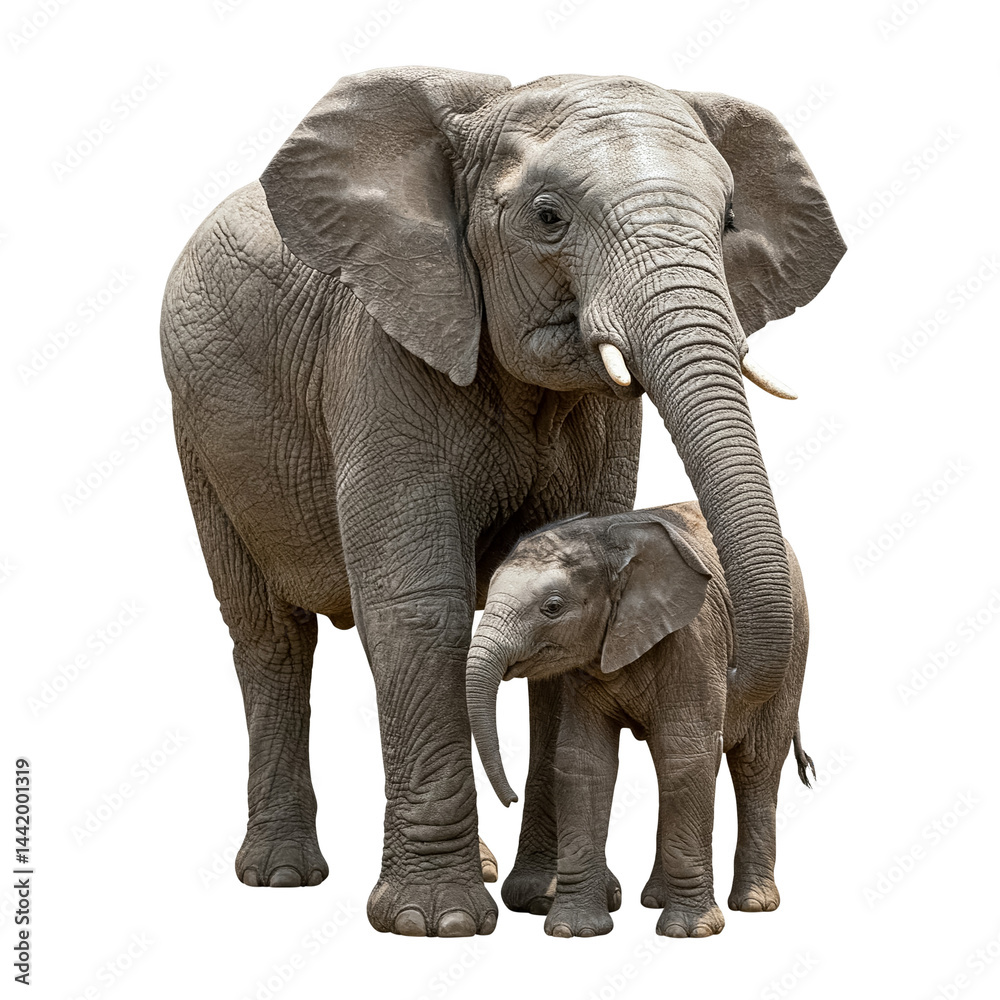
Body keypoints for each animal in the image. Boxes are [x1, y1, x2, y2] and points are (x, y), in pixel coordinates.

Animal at [466, 503, 815, 937]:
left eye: (553, 607)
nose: (510, 799)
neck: (610, 542)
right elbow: (585, 761)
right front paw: (574, 930)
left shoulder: (693, 640)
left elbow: (686, 756)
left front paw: (690, 932)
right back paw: (656, 899)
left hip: (795, 650)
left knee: (754, 764)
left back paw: (754, 904)